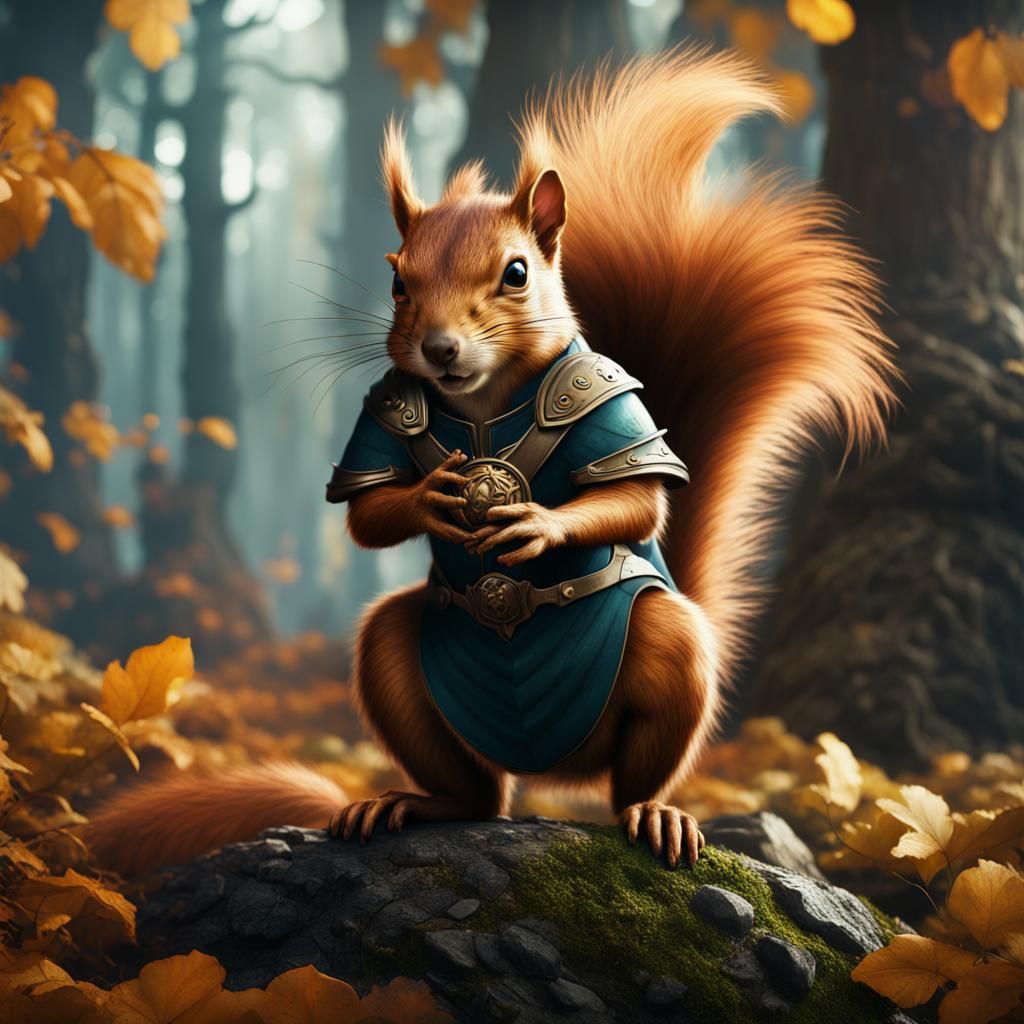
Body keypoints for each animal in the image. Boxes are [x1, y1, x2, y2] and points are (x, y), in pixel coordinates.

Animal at [89, 49, 895, 876]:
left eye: (515, 273)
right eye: (397, 280)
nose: (439, 348)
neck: (481, 402)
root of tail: (552, 771)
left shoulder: (604, 392)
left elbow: (637, 498)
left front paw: (536, 524)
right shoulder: (384, 406)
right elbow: (367, 512)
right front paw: (433, 499)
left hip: (657, 657)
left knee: (635, 768)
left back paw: (654, 813)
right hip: (406, 669)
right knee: (476, 792)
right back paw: (412, 804)